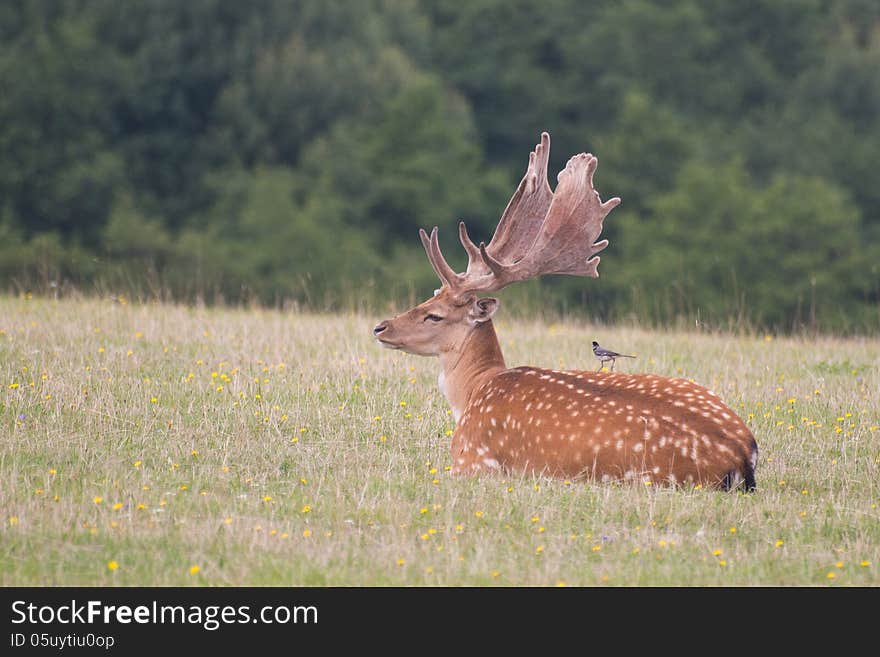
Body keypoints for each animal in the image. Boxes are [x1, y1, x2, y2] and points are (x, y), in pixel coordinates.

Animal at [372, 133, 756, 490]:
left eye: (434, 314)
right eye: (426, 298)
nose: (381, 328)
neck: (474, 390)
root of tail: (741, 453)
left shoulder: (472, 460)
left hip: (641, 475)